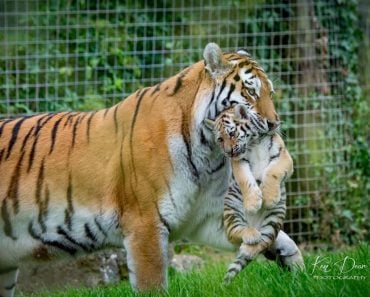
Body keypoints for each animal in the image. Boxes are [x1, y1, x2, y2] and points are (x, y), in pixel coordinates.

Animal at [0, 42, 304, 294]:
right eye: (251, 91)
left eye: (271, 92)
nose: (275, 123)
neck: (208, 153)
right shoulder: (145, 223)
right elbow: (152, 283)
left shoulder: (204, 217)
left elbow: (274, 235)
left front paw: (297, 268)